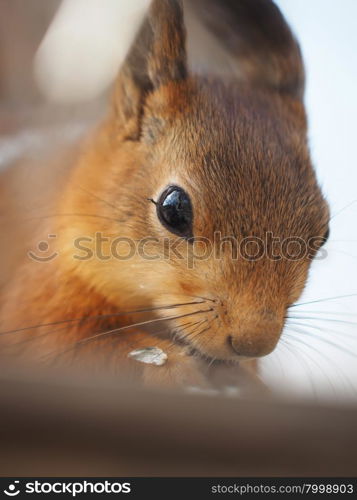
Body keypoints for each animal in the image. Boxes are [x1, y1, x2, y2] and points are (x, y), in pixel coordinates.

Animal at [0, 0, 328, 388]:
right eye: (173, 209)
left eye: (324, 233)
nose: (253, 343)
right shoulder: (37, 293)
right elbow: (58, 344)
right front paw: (171, 366)